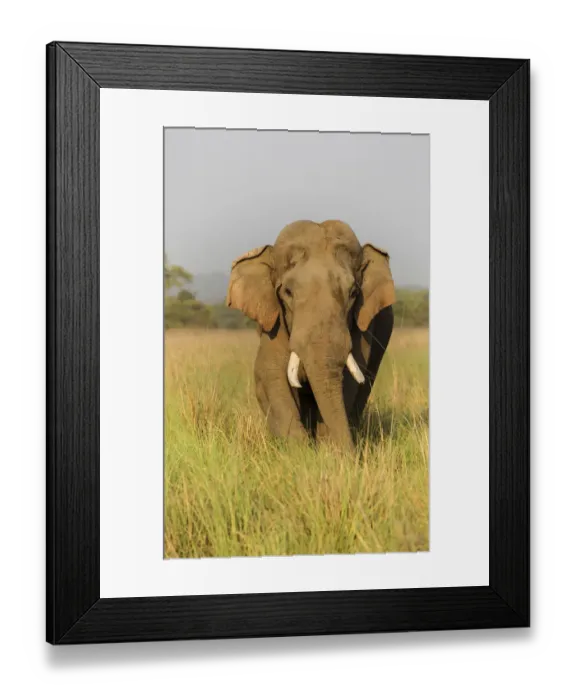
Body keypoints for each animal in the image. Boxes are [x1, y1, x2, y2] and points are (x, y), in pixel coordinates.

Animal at [225, 219, 395, 451]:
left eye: (353, 293)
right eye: (287, 292)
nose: (354, 456)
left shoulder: (362, 325)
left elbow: (349, 381)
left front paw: (326, 450)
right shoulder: (274, 321)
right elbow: (270, 374)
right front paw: (300, 453)